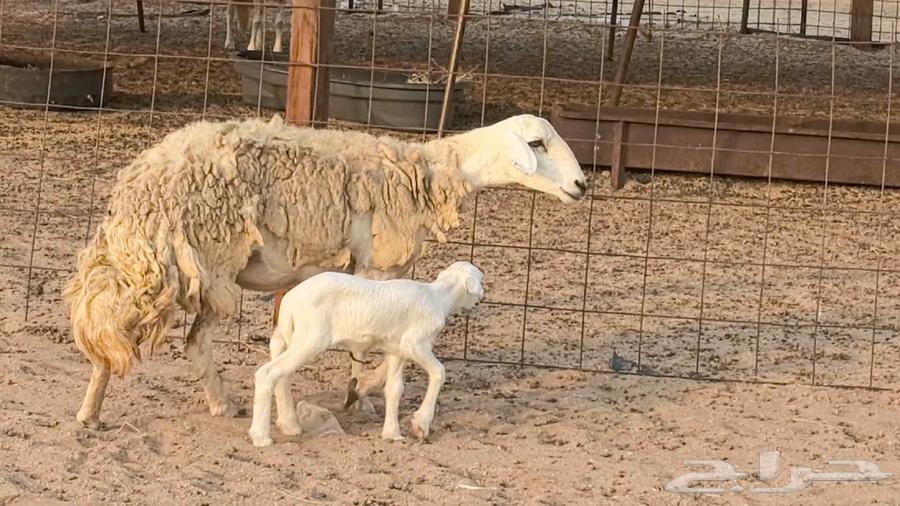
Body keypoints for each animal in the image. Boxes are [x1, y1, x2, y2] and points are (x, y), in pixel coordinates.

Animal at [248, 261, 484, 447]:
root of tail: (289, 302)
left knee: (280, 371)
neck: (438, 298)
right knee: (268, 373)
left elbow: (394, 389)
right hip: (310, 338)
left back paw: (287, 425)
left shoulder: (396, 350)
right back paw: (261, 437)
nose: (482, 296)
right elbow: (439, 372)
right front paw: (421, 424)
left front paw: (392, 434)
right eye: (481, 278)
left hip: (287, 336)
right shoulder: (415, 344)